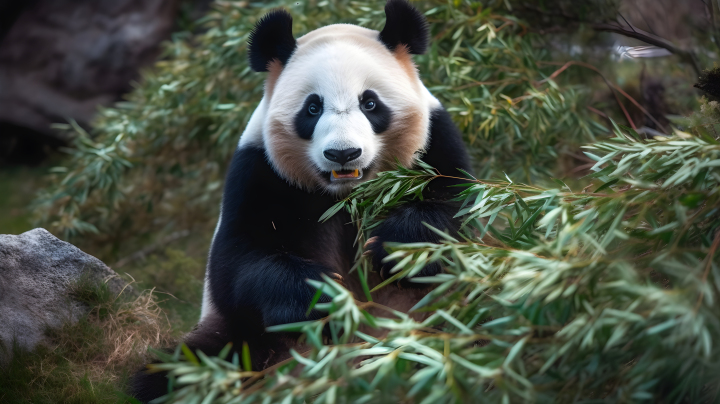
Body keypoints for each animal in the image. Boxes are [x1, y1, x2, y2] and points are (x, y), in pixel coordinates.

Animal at [134, 0, 472, 398]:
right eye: (312, 108)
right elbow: (238, 262)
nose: (343, 154)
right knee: (184, 368)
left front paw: (392, 247)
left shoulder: (435, 146)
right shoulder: (260, 172)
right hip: (243, 346)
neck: (344, 197)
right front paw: (325, 295)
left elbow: (451, 210)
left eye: (370, 103)